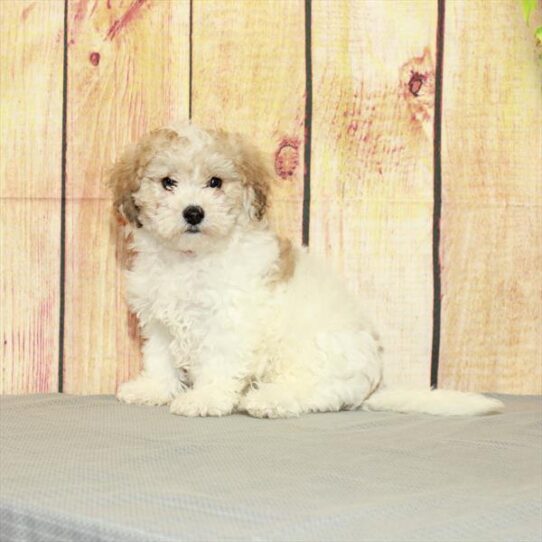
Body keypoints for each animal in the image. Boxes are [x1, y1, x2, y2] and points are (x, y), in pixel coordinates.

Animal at [110, 124, 506, 420]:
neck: (191, 258)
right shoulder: (160, 320)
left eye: (215, 183)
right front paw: (153, 389)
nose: (194, 212)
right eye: (167, 182)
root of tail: (372, 386)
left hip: (315, 354)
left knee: (315, 391)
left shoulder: (230, 321)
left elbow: (220, 362)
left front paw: (204, 398)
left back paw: (269, 399)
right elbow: (160, 358)